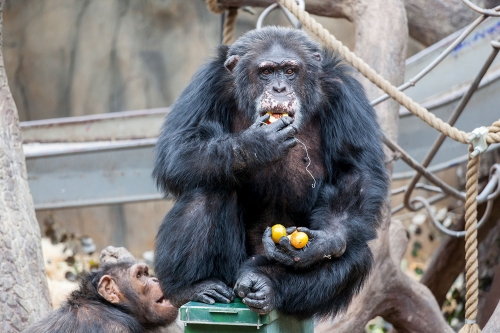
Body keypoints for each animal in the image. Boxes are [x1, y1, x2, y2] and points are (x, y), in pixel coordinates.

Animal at [154, 26, 388, 320]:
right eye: (266, 72)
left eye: (289, 71)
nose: (279, 88)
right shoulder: (207, 84)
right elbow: (178, 147)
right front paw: (256, 145)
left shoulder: (346, 93)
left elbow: (356, 171)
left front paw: (322, 244)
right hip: (228, 268)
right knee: (207, 187)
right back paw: (192, 287)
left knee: (355, 254)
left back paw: (264, 282)